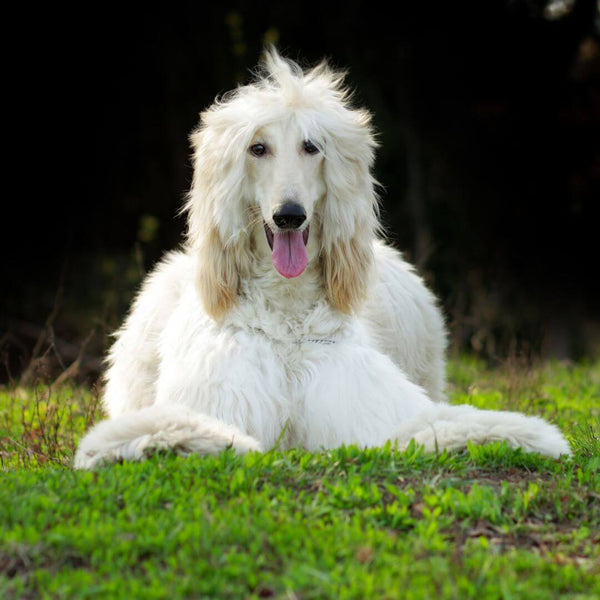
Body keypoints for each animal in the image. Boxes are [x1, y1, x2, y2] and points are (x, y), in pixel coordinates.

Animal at [75, 49, 572, 468]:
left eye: (311, 147)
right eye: (258, 148)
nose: (289, 216)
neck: (286, 313)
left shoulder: (363, 403)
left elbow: (435, 425)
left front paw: (525, 434)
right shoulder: (222, 391)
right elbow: (181, 426)